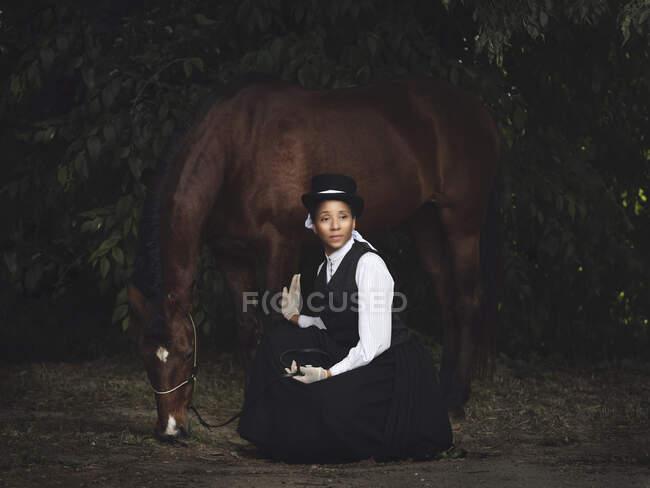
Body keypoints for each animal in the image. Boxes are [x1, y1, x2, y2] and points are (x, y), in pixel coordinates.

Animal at [128, 74, 502, 440]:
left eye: (187, 352)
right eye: (145, 357)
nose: (170, 430)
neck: (237, 147)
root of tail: (477, 111)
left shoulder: (279, 245)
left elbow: (275, 324)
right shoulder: (230, 255)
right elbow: (247, 329)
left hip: (461, 224)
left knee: (466, 301)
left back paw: (455, 399)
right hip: (424, 222)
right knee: (447, 299)